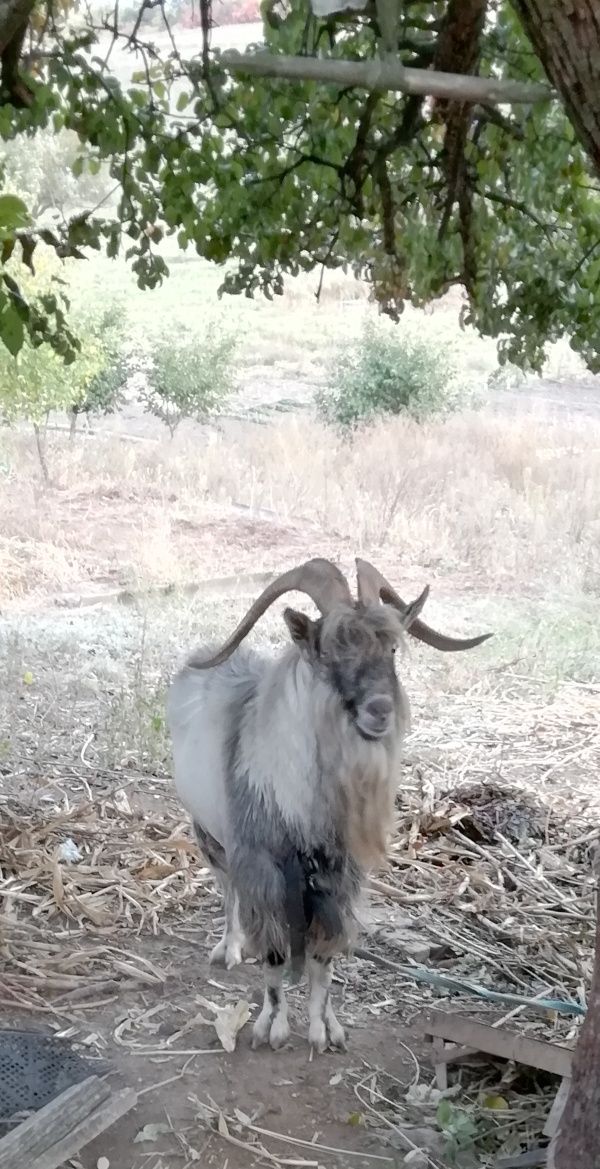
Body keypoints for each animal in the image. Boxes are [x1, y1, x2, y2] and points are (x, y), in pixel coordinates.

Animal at [166, 556, 488, 1052]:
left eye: (391, 648)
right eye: (329, 651)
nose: (379, 710)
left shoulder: (338, 879)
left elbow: (324, 960)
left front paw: (324, 1028)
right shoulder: (263, 867)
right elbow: (275, 956)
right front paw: (272, 1027)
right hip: (208, 833)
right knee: (228, 889)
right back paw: (230, 949)